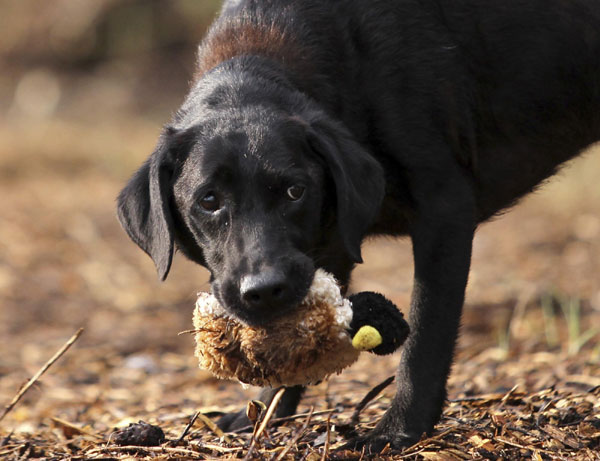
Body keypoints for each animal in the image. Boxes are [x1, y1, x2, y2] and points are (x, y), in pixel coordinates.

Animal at [117, 0, 600, 452]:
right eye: (209, 201)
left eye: (294, 191)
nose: (265, 290)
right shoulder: (329, 246)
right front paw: (265, 412)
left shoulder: (445, 212)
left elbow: (424, 340)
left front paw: (398, 430)